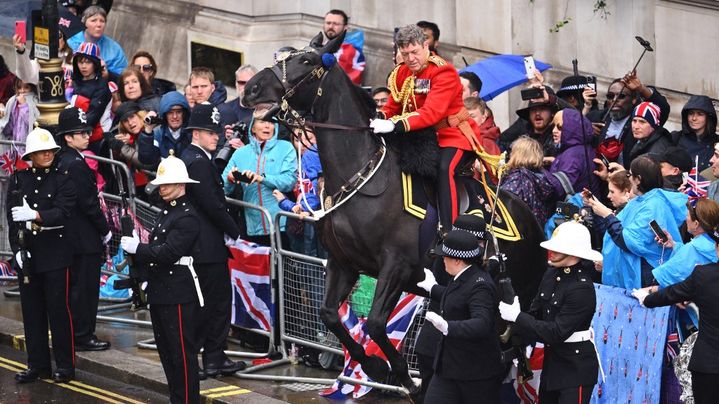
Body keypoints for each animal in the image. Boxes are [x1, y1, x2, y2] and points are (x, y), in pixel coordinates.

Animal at [243, 33, 544, 396]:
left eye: (307, 61)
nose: (251, 89)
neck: (362, 175)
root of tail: (534, 223)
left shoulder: (396, 267)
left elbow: (374, 323)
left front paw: (397, 374)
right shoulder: (344, 263)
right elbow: (329, 314)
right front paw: (375, 365)